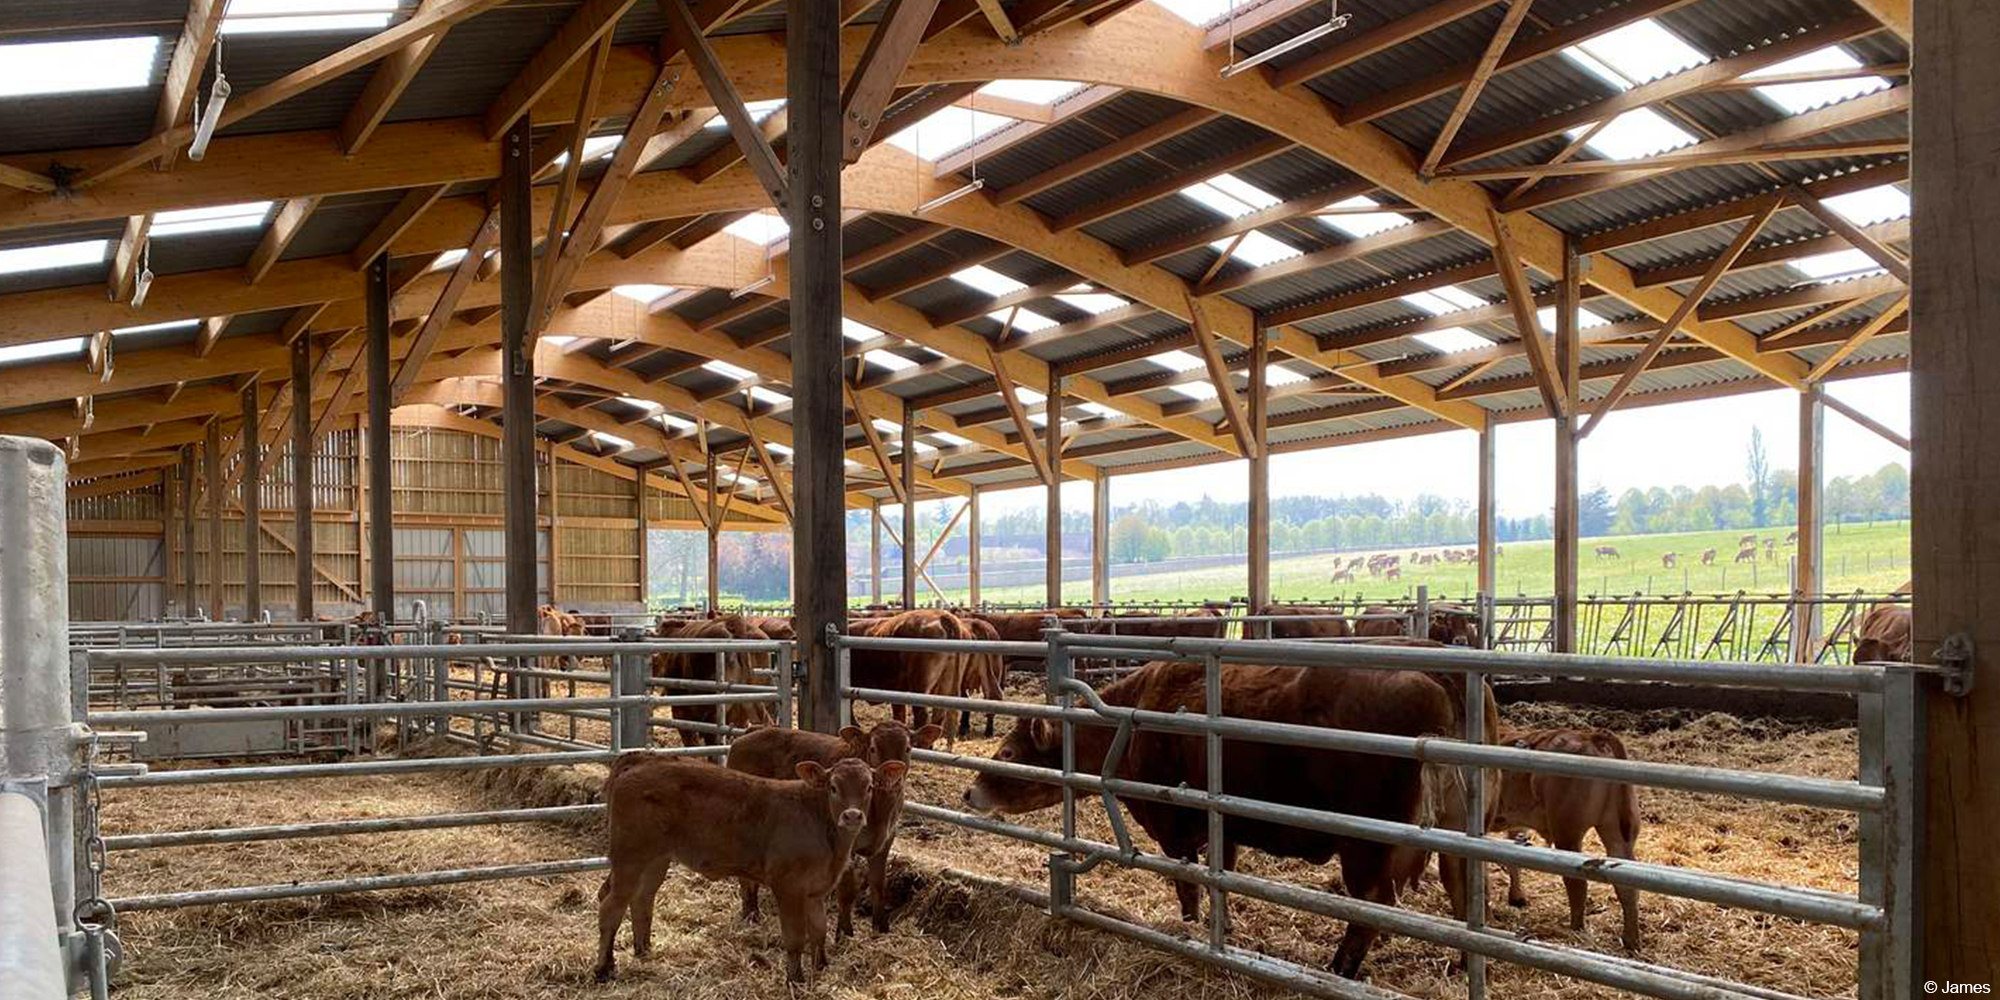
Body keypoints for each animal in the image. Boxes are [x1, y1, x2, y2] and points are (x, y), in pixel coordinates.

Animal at [592, 752, 908, 980]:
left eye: (869, 787)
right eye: (833, 787)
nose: (852, 816)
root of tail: (643, 759)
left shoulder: (817, 889)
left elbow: (819, 930)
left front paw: (821, 967)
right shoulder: (788, 886)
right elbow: (795, 936)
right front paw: (795, 978)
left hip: (656, 859)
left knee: (642, 900)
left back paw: (643, 951)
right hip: (630, 857)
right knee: (611, 907)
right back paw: (604, 969)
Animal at [728, 720, 944, 936]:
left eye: (908, 748)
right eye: (873, 748)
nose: (894, 780)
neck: (880, 810)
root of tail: (753, 731)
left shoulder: (886, 840)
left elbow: (878, 884)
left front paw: (880, 926)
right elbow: (847, 889)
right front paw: (844, 930)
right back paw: (751, 913)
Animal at [960, 640, 1496, 976]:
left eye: (1006, 753)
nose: (969, 794)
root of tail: (1438, 673)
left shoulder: (1173, 827)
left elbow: (1188, 884)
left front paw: (1190, 929)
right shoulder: (1225, 828)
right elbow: (1222, 877)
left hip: (1367, 841)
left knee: (1373, 904)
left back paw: (1339, 967)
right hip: (1459, 834)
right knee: (1465, 891)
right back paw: (1464, 965)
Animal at [1488, 728, 1640, 952]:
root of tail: (1590, 736)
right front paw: (1517, 897)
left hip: (1567, 832)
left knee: (1577, 882)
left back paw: (1576, 928)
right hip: (1615, 831)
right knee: (1627, 885)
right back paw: (1631, 940)